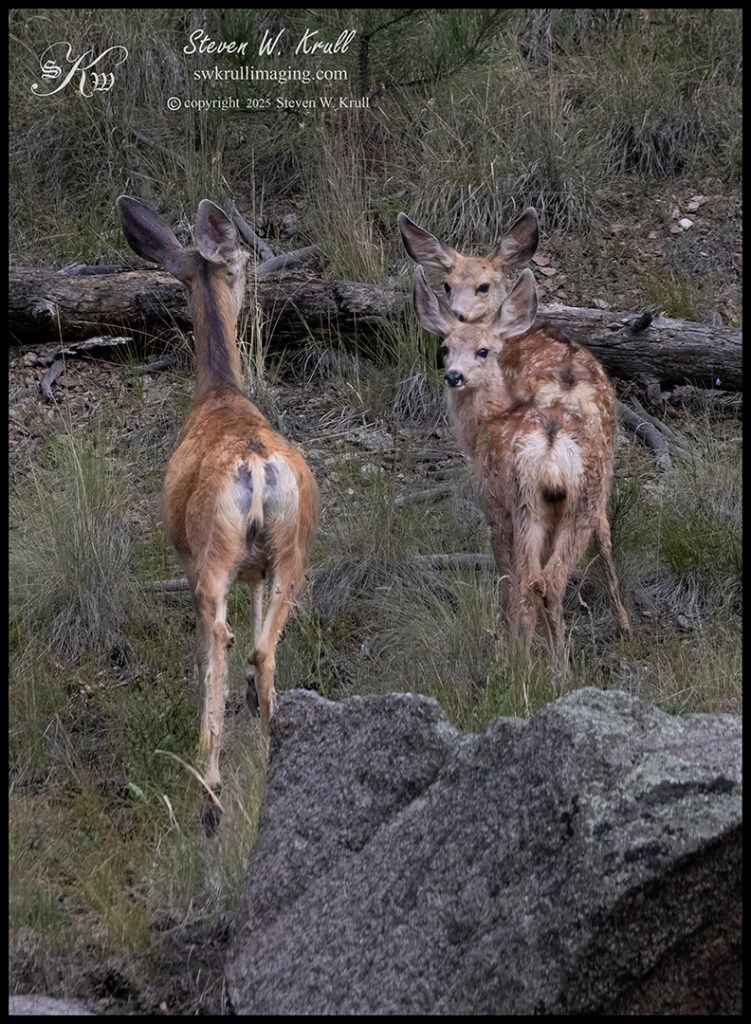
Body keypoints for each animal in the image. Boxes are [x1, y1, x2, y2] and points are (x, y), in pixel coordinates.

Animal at [116, 196, 319, 835]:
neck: (220, 394)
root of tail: (254, 464)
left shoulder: (187, 557)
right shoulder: (256, 568)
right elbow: (256, 615)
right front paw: (253, 702)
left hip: (212, 553)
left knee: (222, 642)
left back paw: (210, 791)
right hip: (293, 549)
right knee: (261, 646)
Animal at [412, 263, 630, 674]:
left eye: (482, 351)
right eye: (446, 348)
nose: (454, 375)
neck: (492, 421)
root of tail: (552, 448)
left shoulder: (495, 507)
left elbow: (507, 579)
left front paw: (508, 637)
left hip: (526, 502)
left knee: (534, 580)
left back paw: (530, 662)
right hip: (584, 498)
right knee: (574, 559)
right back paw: (591, 646)